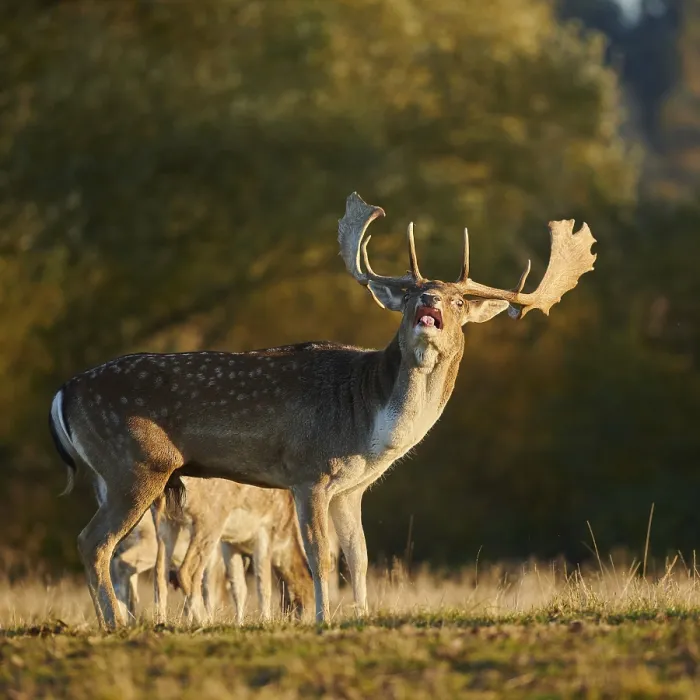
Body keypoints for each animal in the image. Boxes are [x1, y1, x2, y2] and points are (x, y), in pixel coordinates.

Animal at [48, 192, 596, 628]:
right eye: (409, 294)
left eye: (460, 302)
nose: (431, 302)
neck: (368, 421)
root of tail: (63, 392)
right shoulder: (309, 472)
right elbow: (321, 558)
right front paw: (323, 619)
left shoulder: (350, 489)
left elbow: (360, 556)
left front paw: (364, 617)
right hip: (136, 464)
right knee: (93, 542)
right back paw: (115, 622)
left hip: (115, 476)